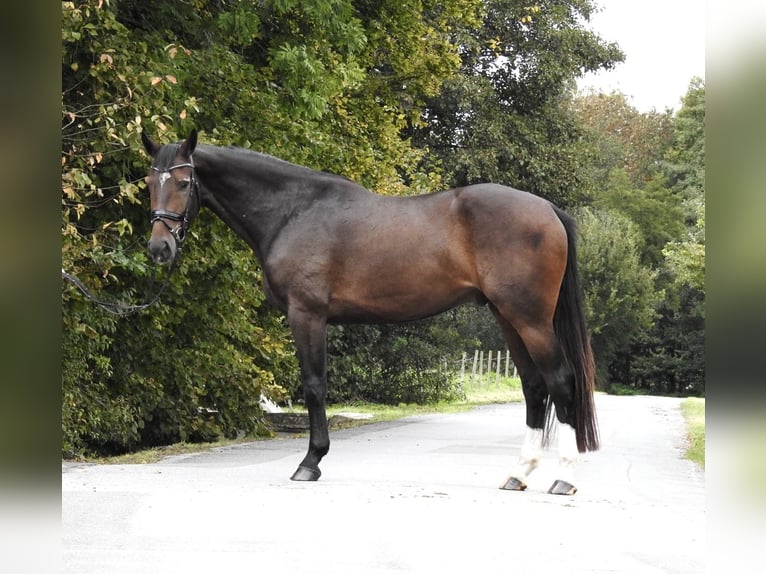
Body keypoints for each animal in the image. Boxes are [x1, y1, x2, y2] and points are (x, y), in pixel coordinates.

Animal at [142, 129, 600, 496]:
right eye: (148, 182)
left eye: (183, 182)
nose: (159, 248)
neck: (293, 212)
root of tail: (547, 210)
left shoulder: (306, 314)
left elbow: (314, 386)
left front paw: (310, 463)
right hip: (509, 319)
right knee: (534, 387)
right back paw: (518, 473)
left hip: (530, 320)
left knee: (561, 382)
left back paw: (565, 477)